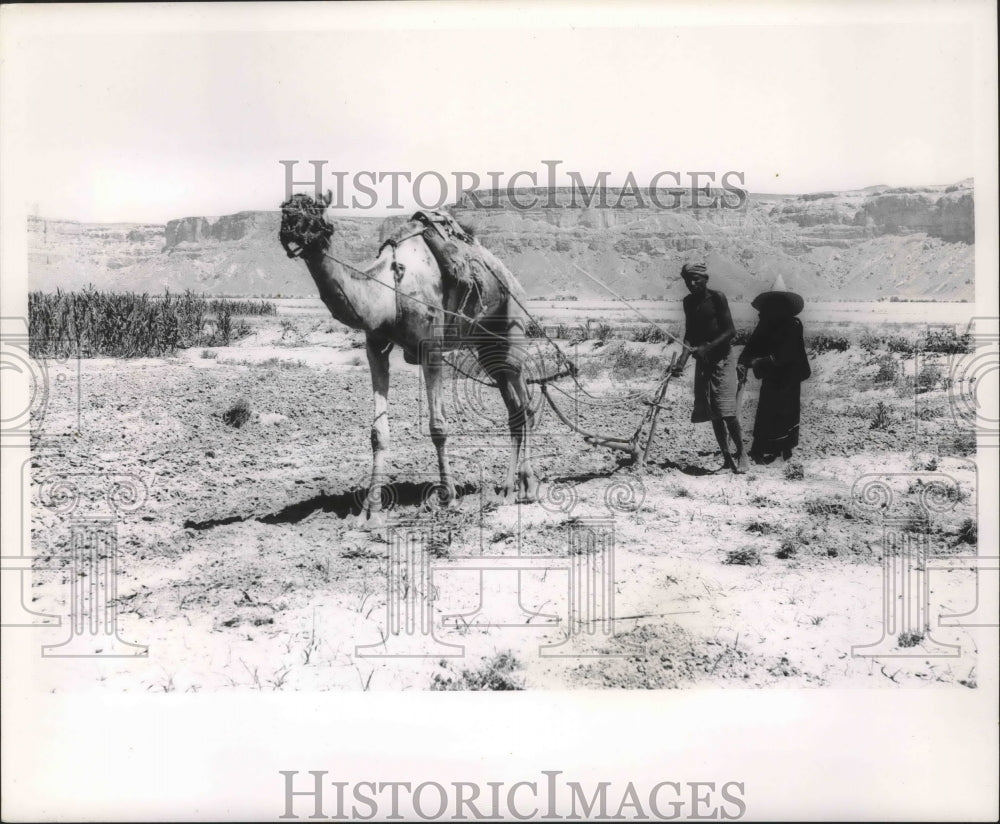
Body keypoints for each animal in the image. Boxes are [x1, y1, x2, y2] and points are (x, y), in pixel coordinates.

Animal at [282, 192, 540, 516]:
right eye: (285, 208)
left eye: (314, 209)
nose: (288, 227)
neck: (391, 288)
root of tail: (508, 275)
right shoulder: (375, 347)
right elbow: (378, 433)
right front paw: (370, 509)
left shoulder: (431, 349)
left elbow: (438, 427)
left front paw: (448, 496)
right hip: (487, 347)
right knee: (515, 407)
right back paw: (506, 489)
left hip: (512, 325)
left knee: (525, 404)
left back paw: (528, 486)